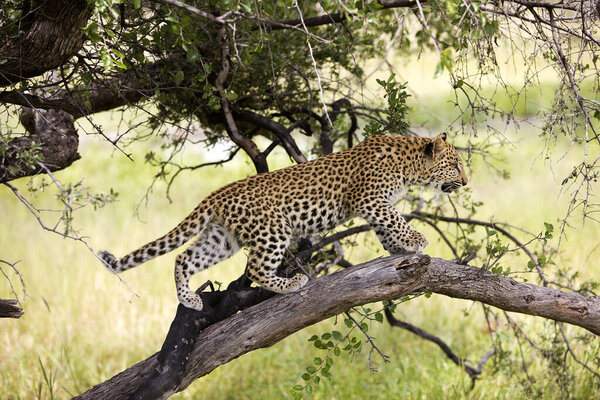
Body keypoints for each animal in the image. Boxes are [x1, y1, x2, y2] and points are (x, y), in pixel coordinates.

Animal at [99, 133, 468, 310]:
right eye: (455, 165)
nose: (465, 182)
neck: (410, 164)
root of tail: (217, 194)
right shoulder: (368, 199)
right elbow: (395, 218)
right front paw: (416, 239)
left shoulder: (375, 204)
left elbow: (387, 225)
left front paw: (399, 249)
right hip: (272, 231)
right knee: (255, 269)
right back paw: (291, 283)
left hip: (222, 239)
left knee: (183, 258)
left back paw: (188, 300)